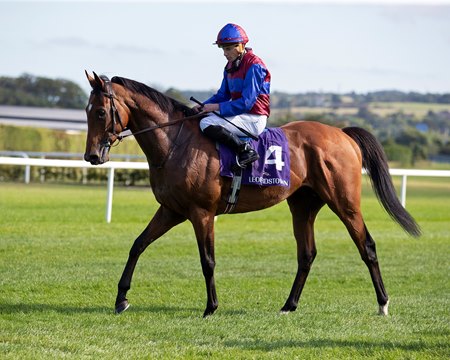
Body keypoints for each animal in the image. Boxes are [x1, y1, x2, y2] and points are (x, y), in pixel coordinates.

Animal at [85, 71, 422, 318]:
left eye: (100, 112)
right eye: (88, 111)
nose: (91, 156)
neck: (175, 142)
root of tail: (342, 134)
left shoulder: (201, 213)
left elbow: (207, 260)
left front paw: (211, 307)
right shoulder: (172, 210)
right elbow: (138, 245)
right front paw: (121, 299)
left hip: (345, 203)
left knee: (367, 246)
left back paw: (383, 303)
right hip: (303, 205)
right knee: (306, 254)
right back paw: (288, 305)